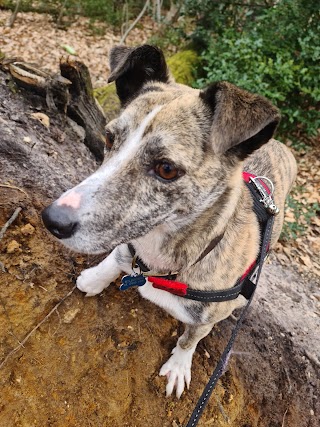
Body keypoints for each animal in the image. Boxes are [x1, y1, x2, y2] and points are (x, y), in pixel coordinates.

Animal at [42, 45, 298, 400]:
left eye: (166, 169)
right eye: (108, 137)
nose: (52, 220)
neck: (162, 265)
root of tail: (281, 145)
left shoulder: (205, 320)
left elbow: (189, 339)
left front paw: (178, 365)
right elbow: (119, 254)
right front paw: (95, 277)